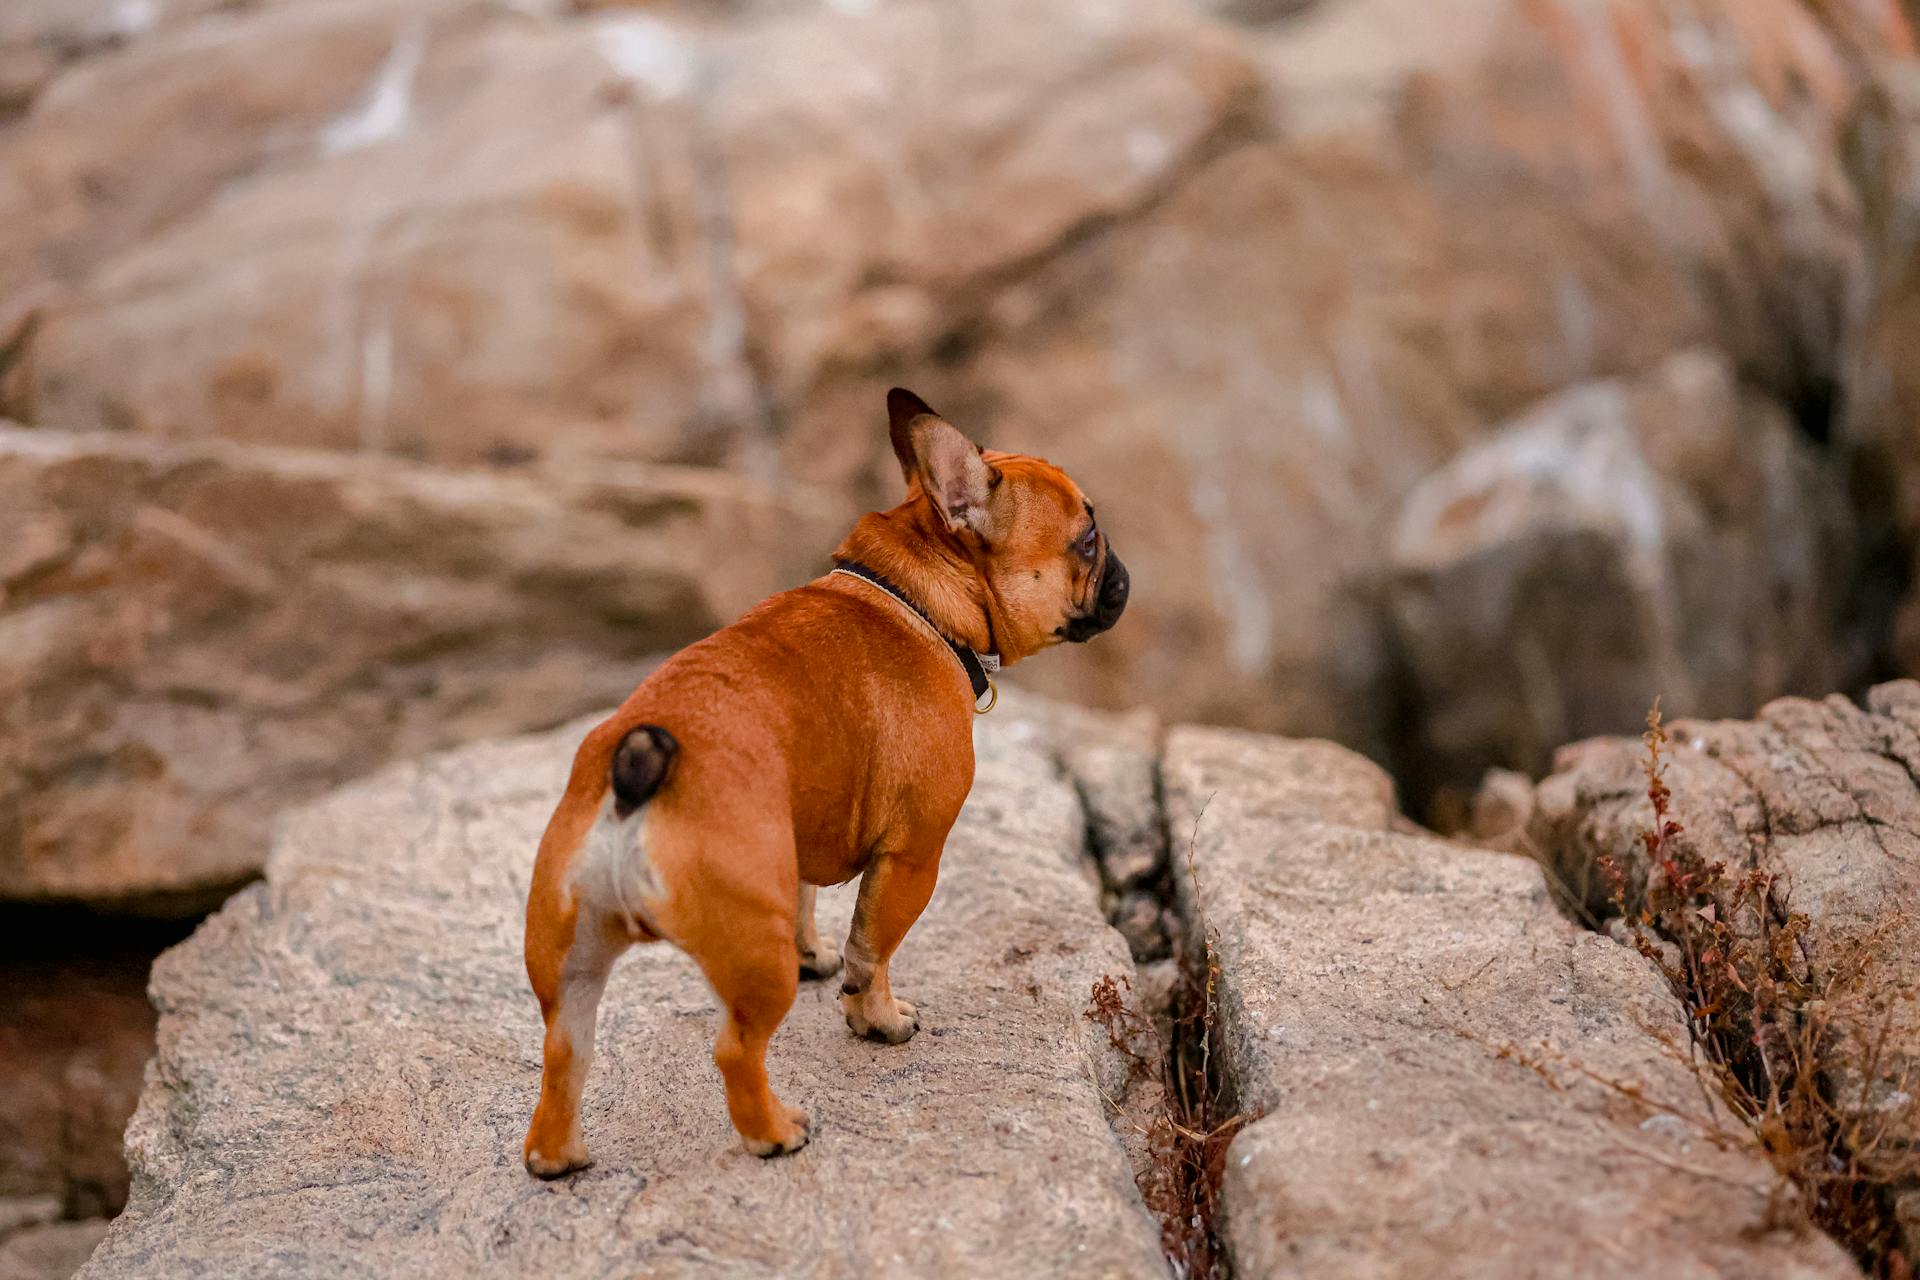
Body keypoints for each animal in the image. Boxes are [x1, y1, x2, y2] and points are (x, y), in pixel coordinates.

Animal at [518, 387, 1128, 1174]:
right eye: (1086, 540)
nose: (1121, 572)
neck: (917, 595)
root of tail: (632, 781)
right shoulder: (913, 857)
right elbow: (875, 951)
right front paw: (878, 1020)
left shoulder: (802, 828)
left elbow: (809, 899)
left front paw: (818, 956)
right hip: (753, 957)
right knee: (735, 1049)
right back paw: (773, 1132)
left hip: (568, 957)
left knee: (563, 1051)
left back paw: (557, 1156)